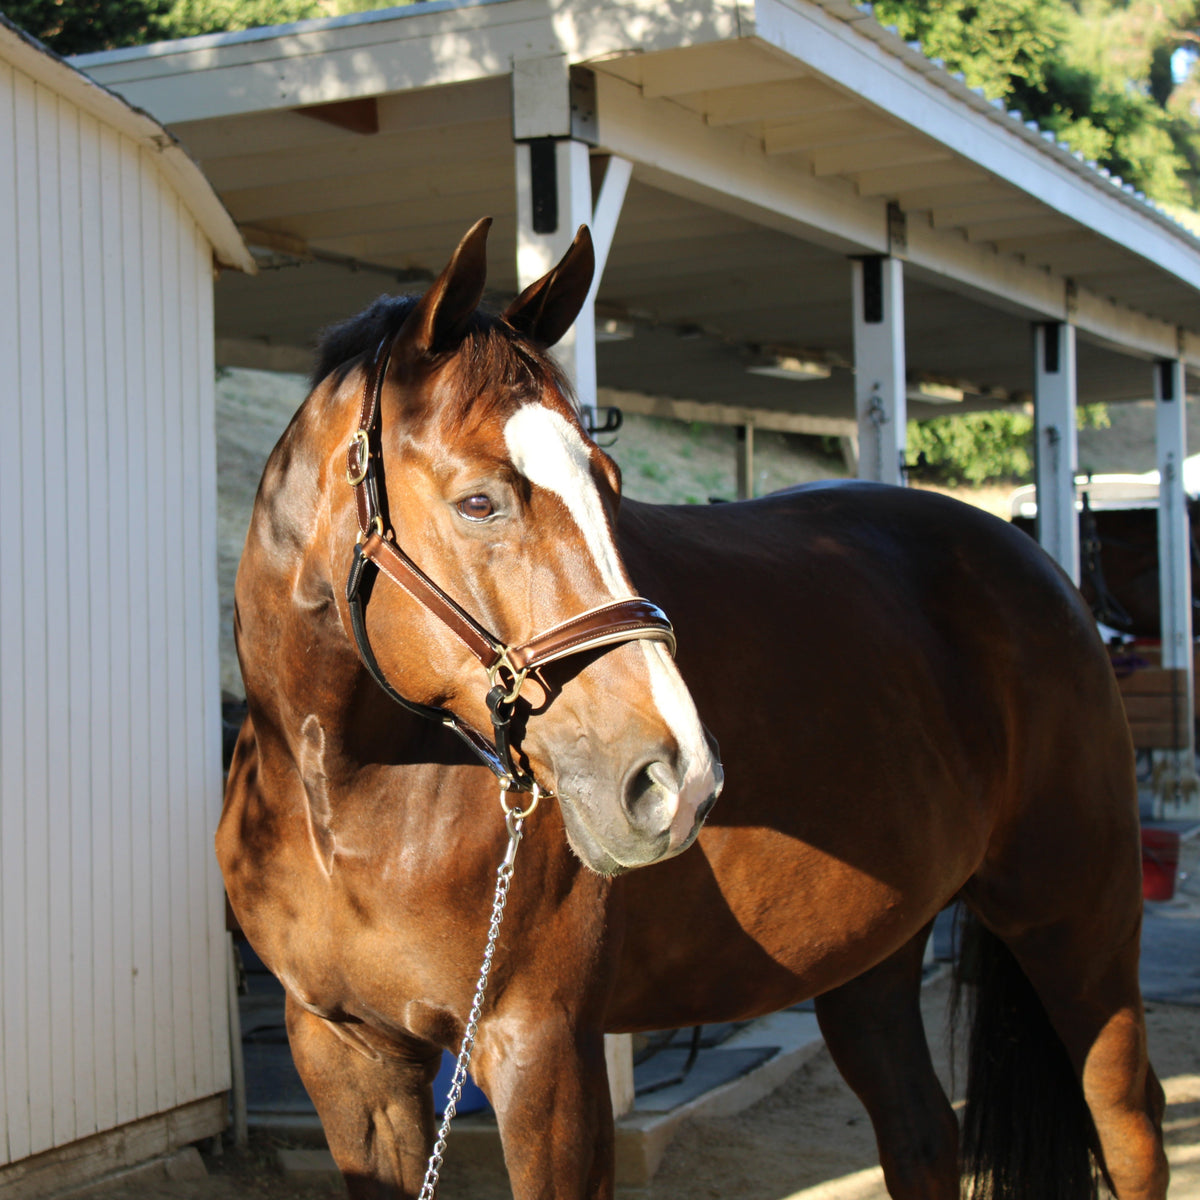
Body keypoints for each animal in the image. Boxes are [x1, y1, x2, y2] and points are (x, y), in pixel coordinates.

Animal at [220, 218, 1166, 1200]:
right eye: (478, 500)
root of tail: (1036, 564)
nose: (677, 779)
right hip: (873, 956)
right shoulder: (345, 1055)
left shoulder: (543, 1054)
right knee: (921, 1133)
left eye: (608, 482)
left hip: (1075, 923)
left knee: (1128, 1127)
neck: (347, 795)